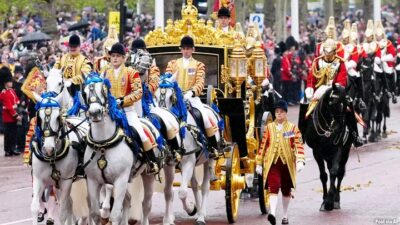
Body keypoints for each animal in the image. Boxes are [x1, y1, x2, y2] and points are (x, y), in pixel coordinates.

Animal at [30, 92, 86, 223]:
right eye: (39, 118)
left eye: (57, 117)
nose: (48, 148)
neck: (51, 159)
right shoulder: (39, 179)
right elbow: (34, 207)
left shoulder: (66, 182)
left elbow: (62, 212)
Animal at [84, 75, 156, 225]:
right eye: (84, 92)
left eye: (104, 90)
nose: (95, 113)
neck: (104, 145)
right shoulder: (93, 181)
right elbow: (95, 214)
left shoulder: (120, 179)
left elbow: (115, 214)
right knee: (128, 200)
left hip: (148, 175)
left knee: (146, 204)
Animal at [153, 75, 222, 225]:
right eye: (154, 95)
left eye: (171, 97)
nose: (161, 118)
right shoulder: (170, 165)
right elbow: (169, 191)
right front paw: (168, 219)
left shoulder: (188, 162)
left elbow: (182, 192)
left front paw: (191, 209)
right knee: (195, 185)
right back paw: (199, 211)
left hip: (209, 159)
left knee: (205, 187)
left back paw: (201, 215)